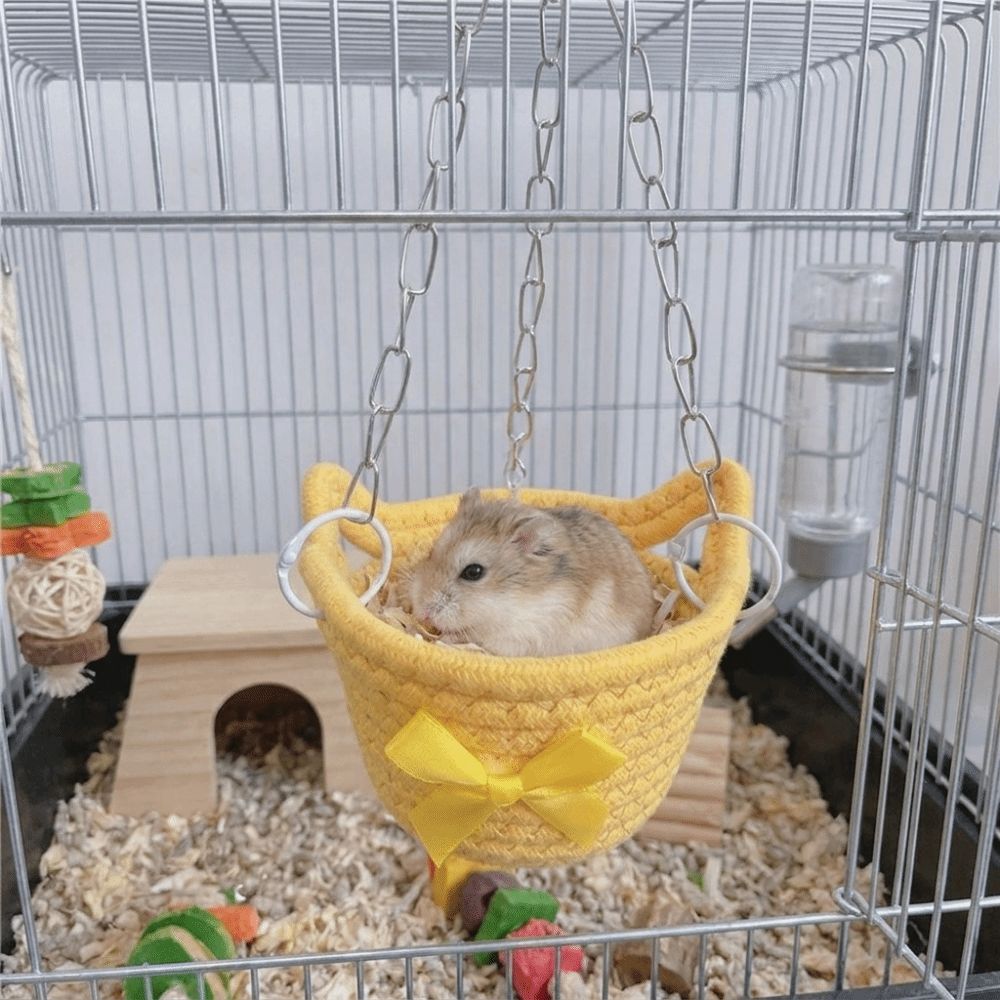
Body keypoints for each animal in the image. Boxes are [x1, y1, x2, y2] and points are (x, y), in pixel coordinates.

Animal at [405, 488, 657, 657]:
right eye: (431, 552)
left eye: (473, 572)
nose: (423, 614)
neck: (516, 597)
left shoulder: (519, 635)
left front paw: (446, 637)